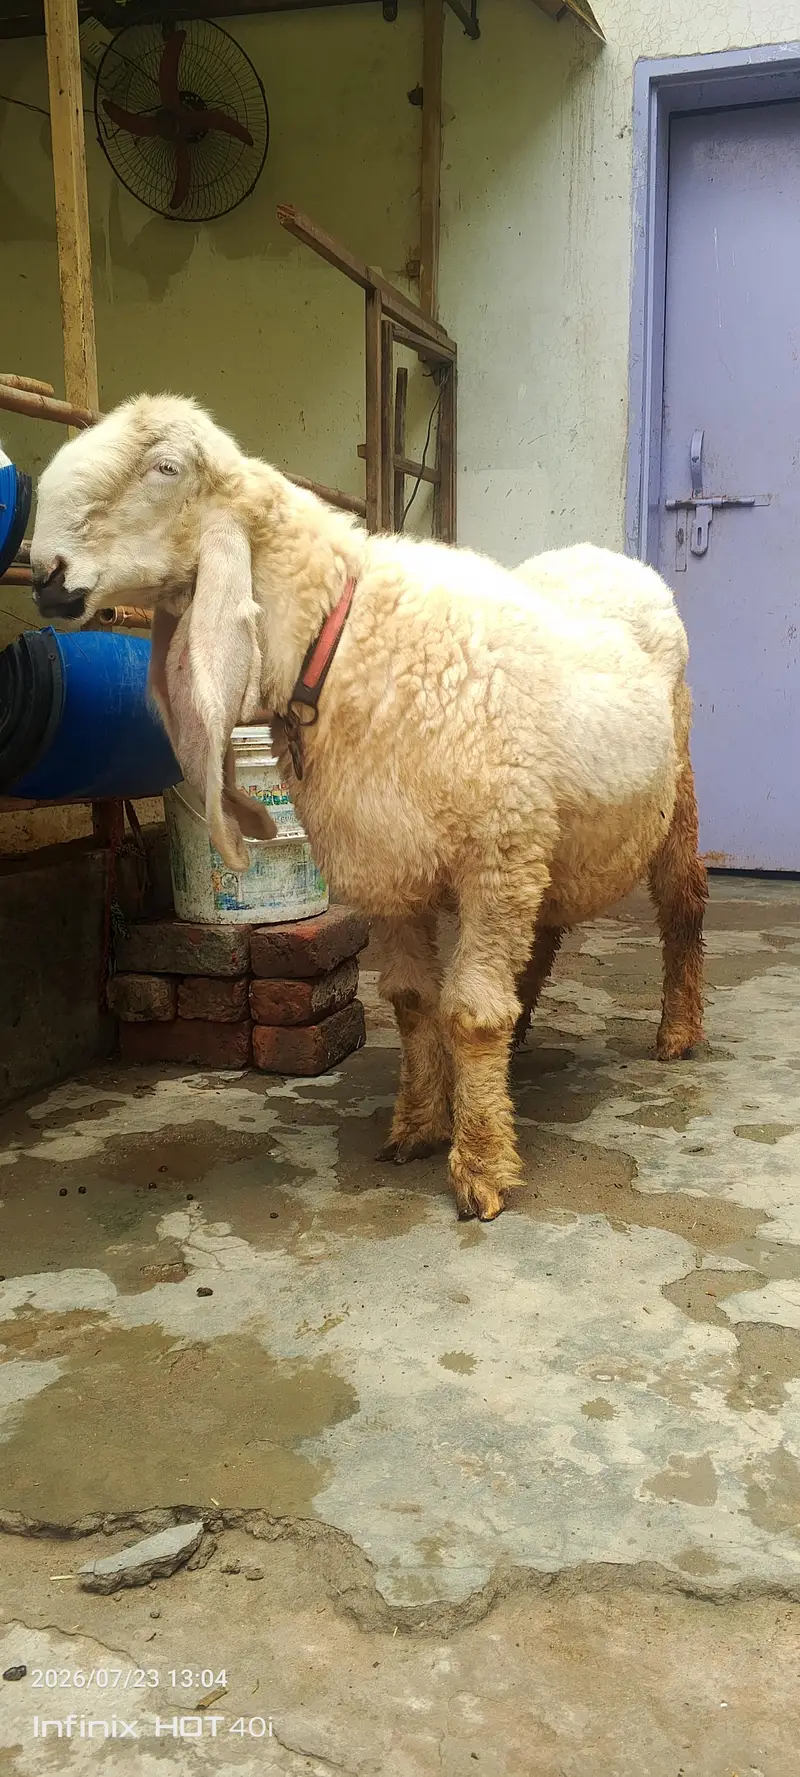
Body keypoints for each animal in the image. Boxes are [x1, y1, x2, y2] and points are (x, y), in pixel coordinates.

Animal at [30, 394, 707, 1223]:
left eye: (165, 469)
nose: (45, 573)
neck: (342, 641)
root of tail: (605, 555)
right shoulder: (393, 863)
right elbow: (415, 1002)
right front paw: (418, 1125)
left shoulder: (493, 855)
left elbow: (468, 1011)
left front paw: (481, 1161)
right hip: (543, 833)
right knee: (542, 933)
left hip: (669, 789)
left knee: (683, 902)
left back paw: (678, 1029)